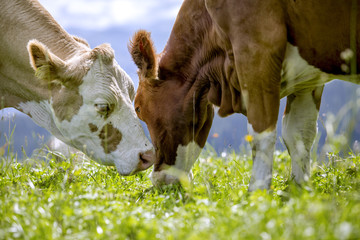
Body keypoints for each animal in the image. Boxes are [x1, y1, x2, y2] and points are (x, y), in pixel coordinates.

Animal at [128, 0, 358, 191]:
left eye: (138, 108)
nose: (158, 180)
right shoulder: (308, 81)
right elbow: (299, 133)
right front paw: (299, 190)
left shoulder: (256, 53)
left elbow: (261, 135)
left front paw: (258, 195)